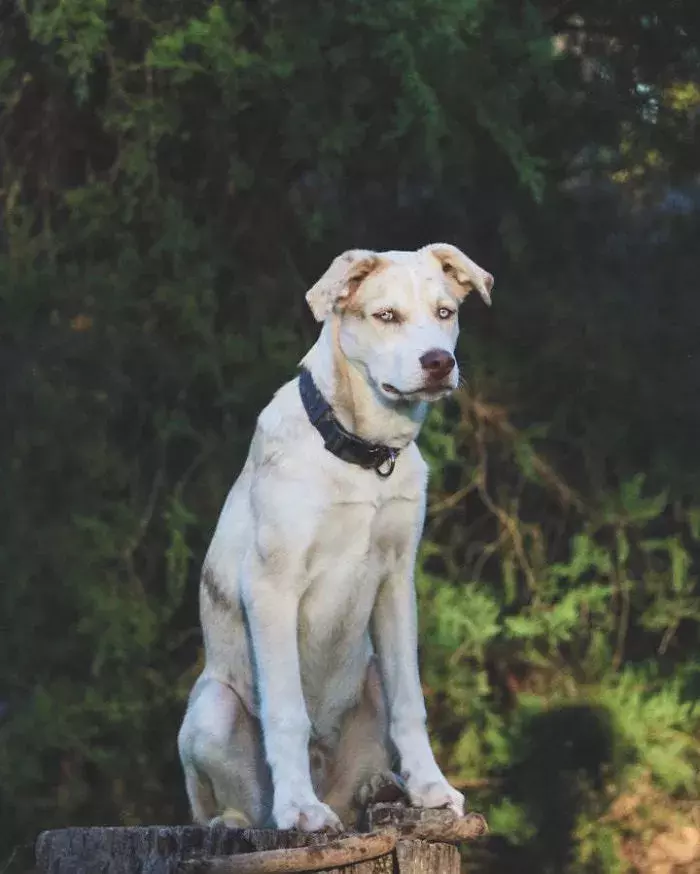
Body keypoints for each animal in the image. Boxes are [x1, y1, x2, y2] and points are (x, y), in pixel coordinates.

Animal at [178, 242, 494, 828]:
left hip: (368, 674)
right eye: (386, 316)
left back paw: (381, 788)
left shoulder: (396, 581)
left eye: (445, 312)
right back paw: (258, 814)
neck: (363, 456)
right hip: (212, 708)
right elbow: (286, 712)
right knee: (234, 806)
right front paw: (300, 809)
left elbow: (411, 703)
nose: (439, 362)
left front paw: (432, 788)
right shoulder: (272, 586)